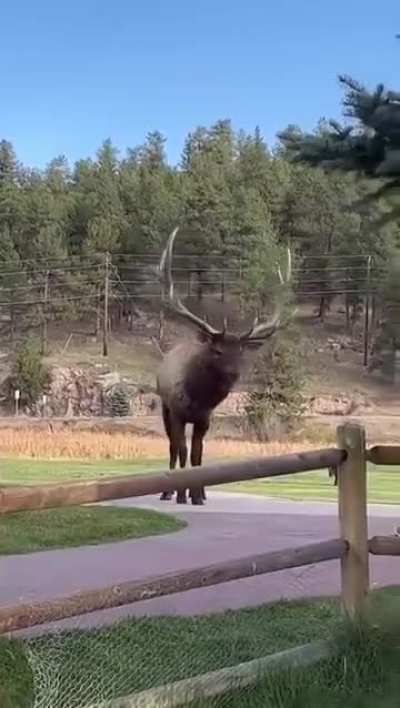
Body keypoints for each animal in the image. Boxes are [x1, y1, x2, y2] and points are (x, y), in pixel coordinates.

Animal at [156, 227, 292, 505]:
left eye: (240, 352)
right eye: (218, 351)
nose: (233, 374)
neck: (197, 398)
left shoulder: (205, 419)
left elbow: (198, 454)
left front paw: (198, 494)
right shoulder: (177, 412)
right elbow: (182, 450)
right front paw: (181, 494)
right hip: (164, 407)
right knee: (172, 447)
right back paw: (168, 492)